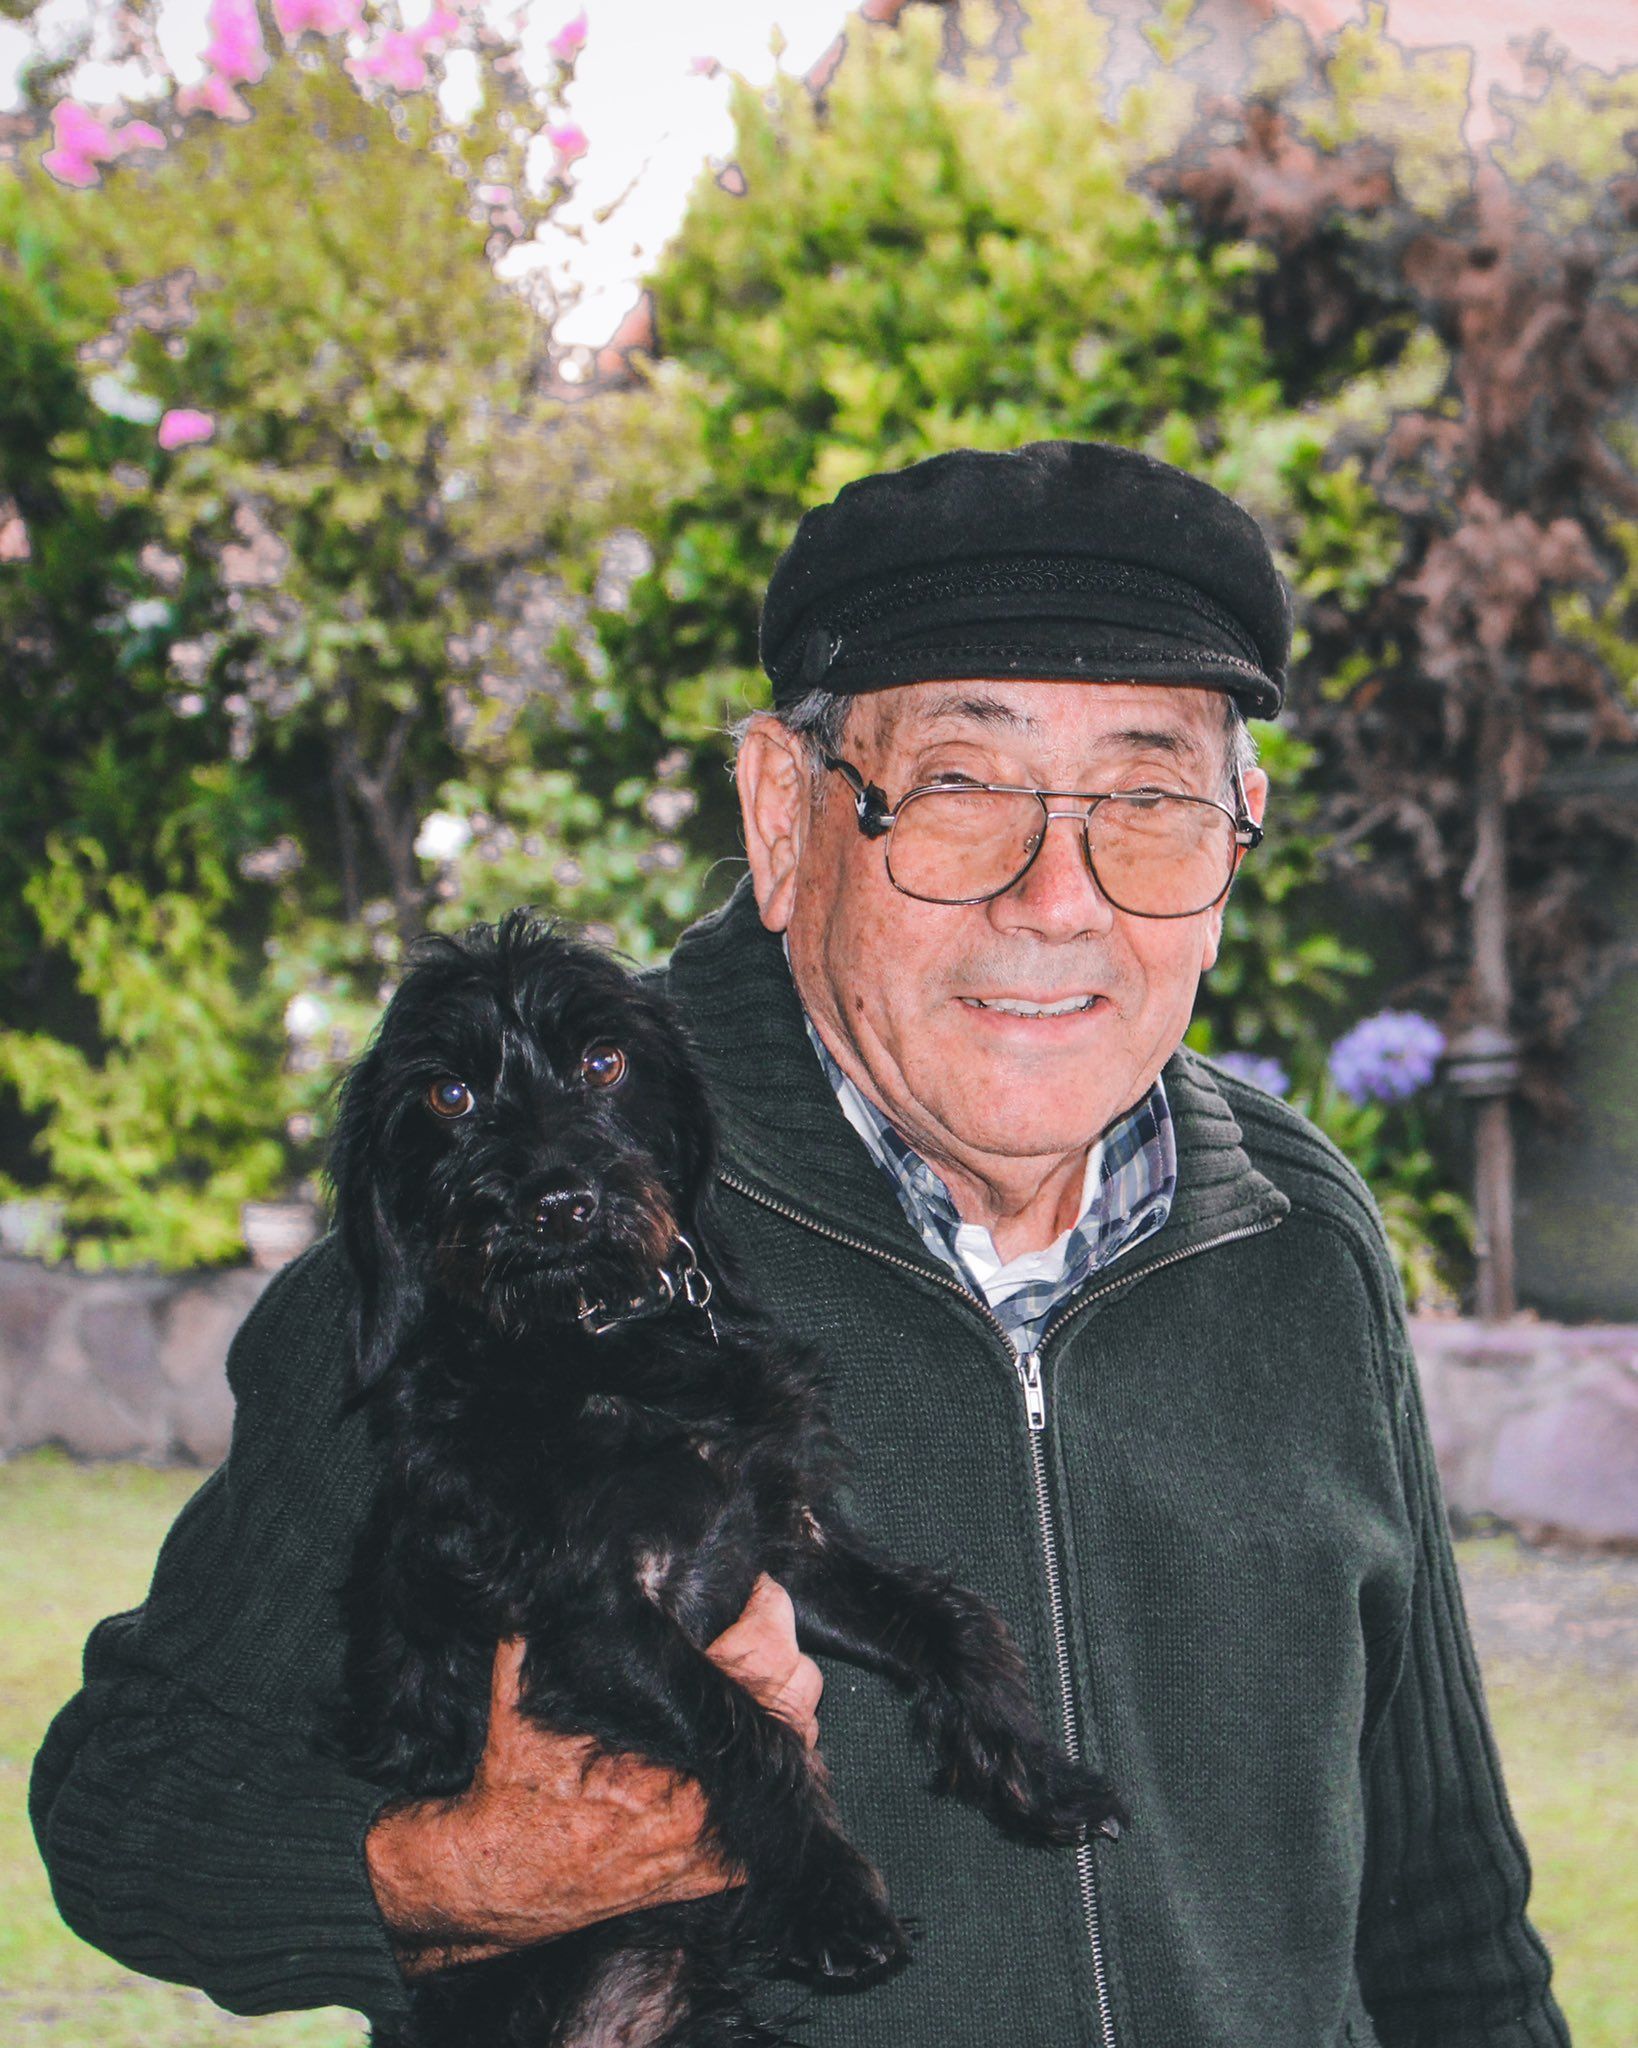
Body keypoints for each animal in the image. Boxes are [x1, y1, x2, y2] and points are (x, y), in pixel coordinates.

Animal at [329, 917, 1130, 2048]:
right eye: (449, 1095)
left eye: (604, 1062)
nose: (559, 1204)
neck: (609, 1347)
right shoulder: (597, 1617)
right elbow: (747, 1726)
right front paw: (835, 1901)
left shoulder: (782, 1539)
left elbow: (952, 1619)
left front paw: (1035, 1771)